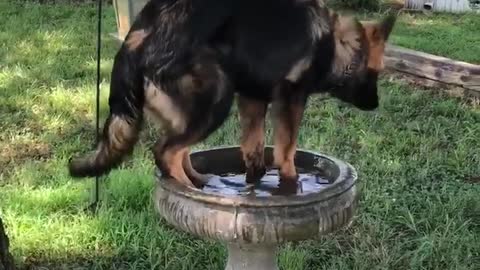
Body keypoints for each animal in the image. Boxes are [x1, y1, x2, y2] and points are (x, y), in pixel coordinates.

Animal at [68, 0, 398, 189]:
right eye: (375, 72)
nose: (376, 105)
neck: (333, 44)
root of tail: (135, 40)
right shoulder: (290, 100)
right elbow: (287, 148)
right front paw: (290, 182)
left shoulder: (253, 99)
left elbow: (254, 145)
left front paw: (255, 178)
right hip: (217, 98)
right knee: (165, 151)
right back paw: (190, 188)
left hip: (195, 108)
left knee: (178, 148)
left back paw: (200, 180)